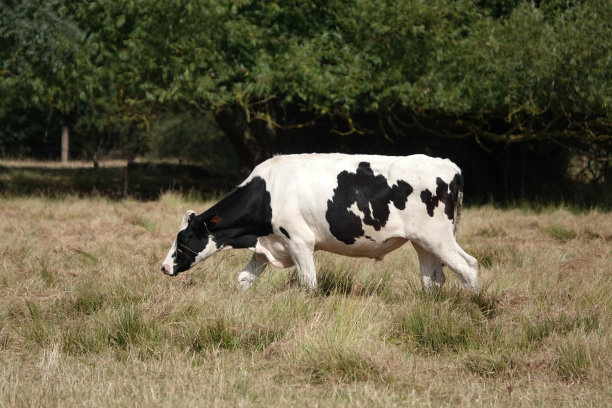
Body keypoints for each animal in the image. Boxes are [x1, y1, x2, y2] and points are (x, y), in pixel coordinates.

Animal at [161, 152, 478, 290]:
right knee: (433, 278)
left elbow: (308, 283)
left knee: (469, 267)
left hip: (437, 237)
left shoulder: (299, 241)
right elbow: (243, 279)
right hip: (423, 242)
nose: (164, 267)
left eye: (183, 238)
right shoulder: (268, 246)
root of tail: (450, 166)